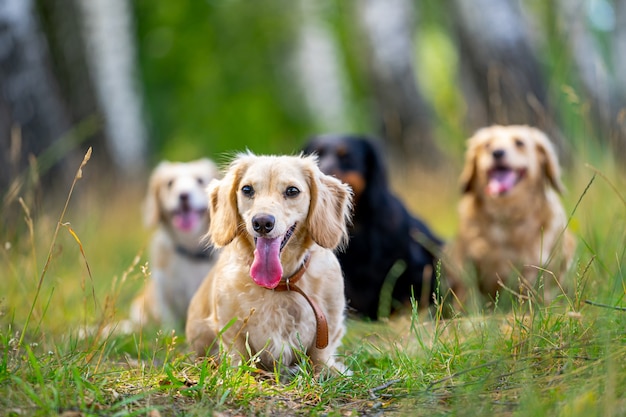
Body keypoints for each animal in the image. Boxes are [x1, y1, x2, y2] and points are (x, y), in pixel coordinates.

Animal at [184, 153, 352, 374]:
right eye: (247, 189)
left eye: (292, 191)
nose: (262, 223)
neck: (279, 285)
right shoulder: (230, 328)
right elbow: (237, 355)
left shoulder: (328, 325)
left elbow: (320, 357)